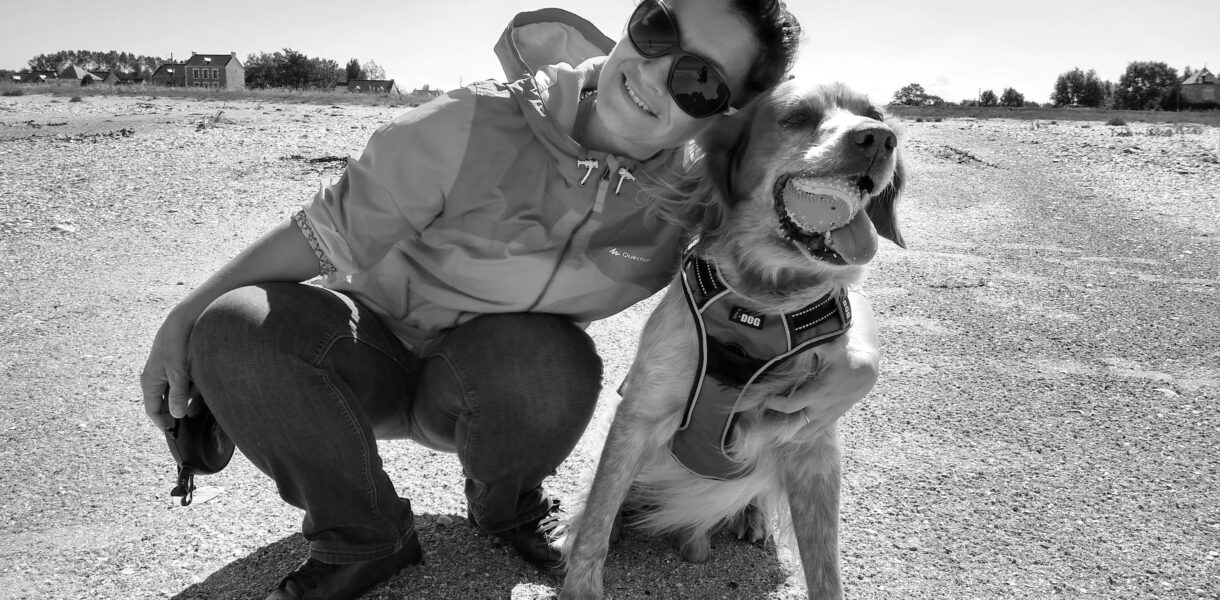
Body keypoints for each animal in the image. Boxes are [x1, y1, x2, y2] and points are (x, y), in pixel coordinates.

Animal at [559, 81, 906, 600]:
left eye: (875, 115)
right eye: (797, 117)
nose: (880, 140)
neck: (762, 304)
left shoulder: (814, 444)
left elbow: (826, 571)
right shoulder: (638, 413)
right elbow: (599, 512)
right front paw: (582, 576)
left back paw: (750, 516)